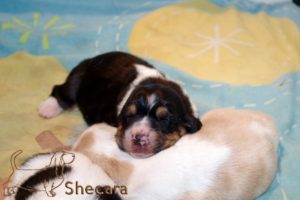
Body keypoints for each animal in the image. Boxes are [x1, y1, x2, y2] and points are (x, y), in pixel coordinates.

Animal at [38, 51, 202, 158]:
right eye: (129, 115)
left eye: (164, 119)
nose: (138, 138)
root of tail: (91, 59)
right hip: (76, 80)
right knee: (60, 91)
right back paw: (47, 109)